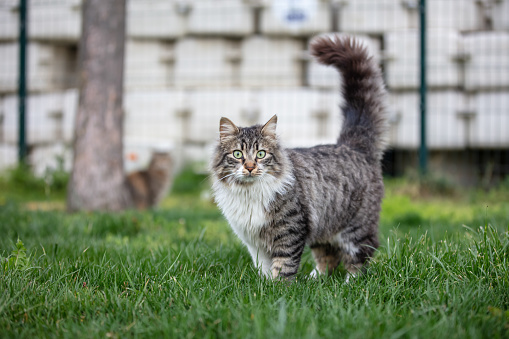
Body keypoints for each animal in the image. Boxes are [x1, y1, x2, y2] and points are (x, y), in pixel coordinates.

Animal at [210, 35, 388, 282]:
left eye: (261, 154)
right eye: (238, 154)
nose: (250, 167)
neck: (249, 194)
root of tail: (351, 145)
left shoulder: (290, 230)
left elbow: (284, 264)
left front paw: (278, 287)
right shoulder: (254, 242)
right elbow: (263, 267)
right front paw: (263, 285)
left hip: (356, 228)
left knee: (360, 256)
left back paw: (349, 283)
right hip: (324, 226)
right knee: (328, 257)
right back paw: (316, 280)